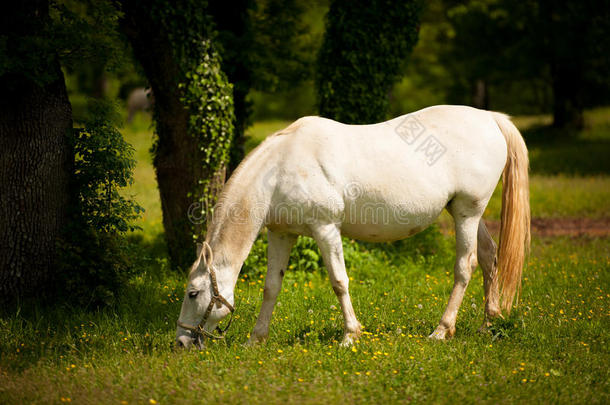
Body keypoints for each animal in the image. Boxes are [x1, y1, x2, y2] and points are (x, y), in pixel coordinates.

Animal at [175, 104, 528, 348]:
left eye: (193, 293)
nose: (181, 342)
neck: (280, 168)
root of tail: (490, 118)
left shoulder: (326, 229)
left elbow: (339, 281)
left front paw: (349, 335)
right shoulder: (281, 234)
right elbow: (271, 287)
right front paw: (255, 340)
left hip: (468, 213)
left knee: (465, 266)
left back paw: (441, 331)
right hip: (465, 214)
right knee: (489, 257)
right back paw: (487, 324)